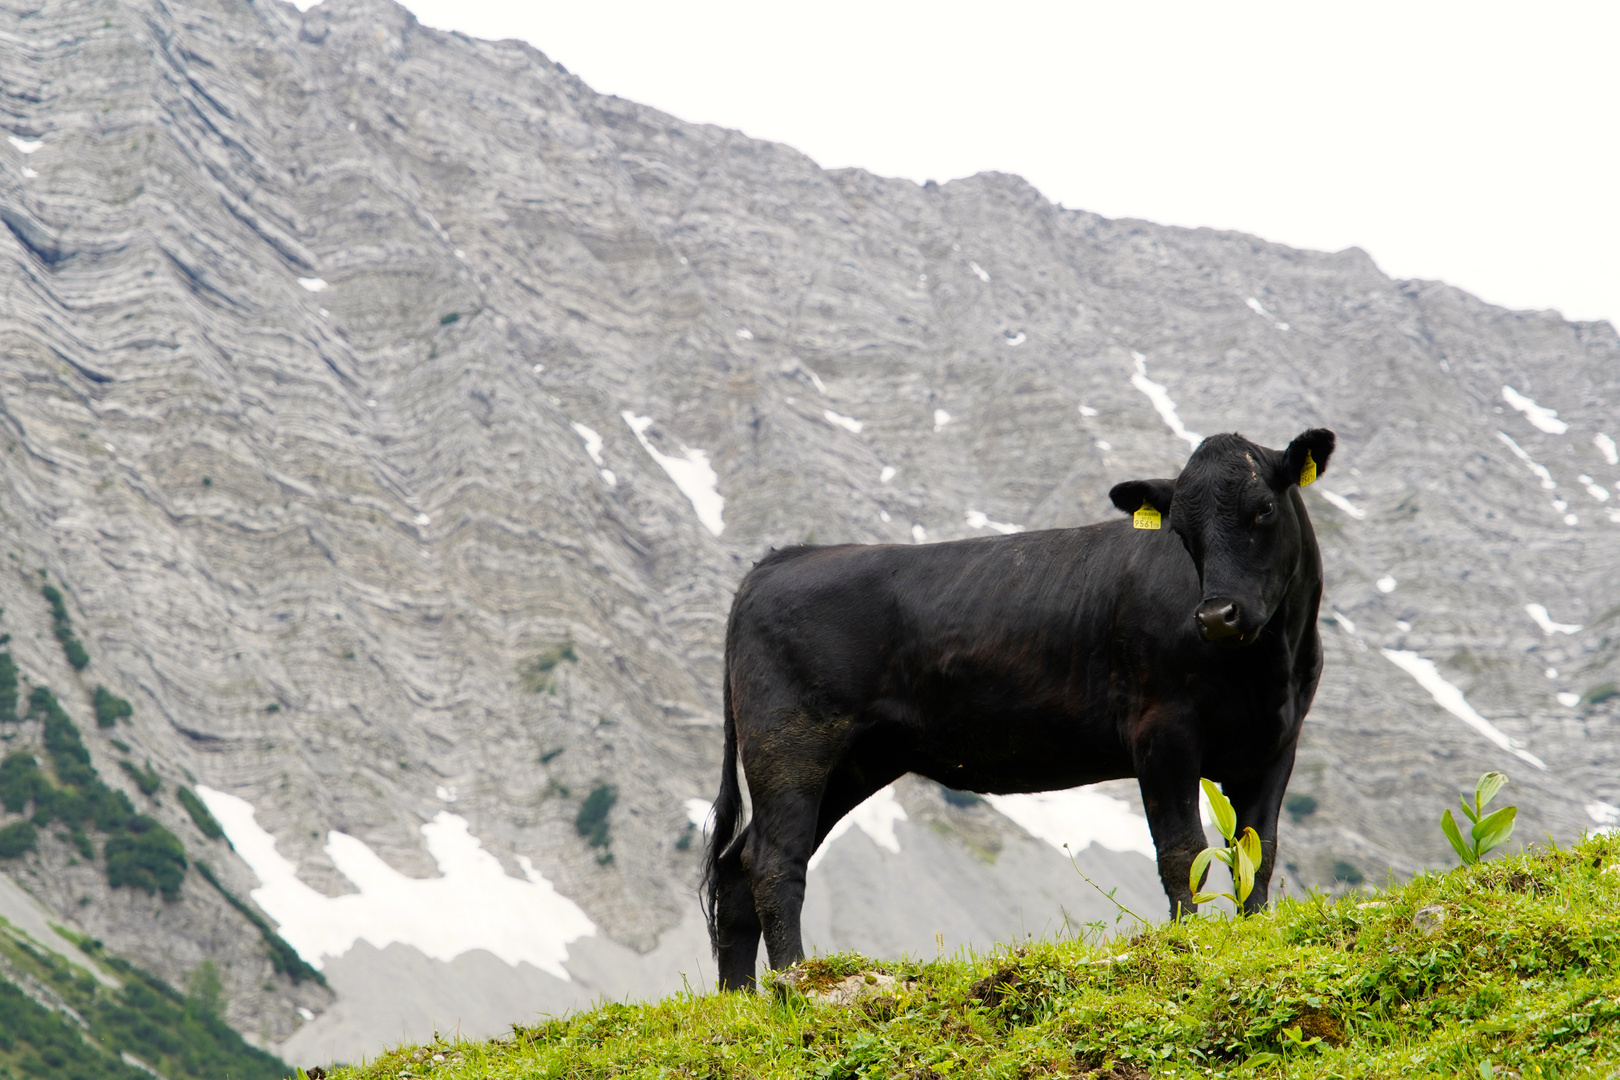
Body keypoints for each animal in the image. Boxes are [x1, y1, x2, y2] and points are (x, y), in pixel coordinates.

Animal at [703, 427, 1334, 990]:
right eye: (1182, 532)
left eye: (1263, 510)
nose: (1215, 615)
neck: (1267, 666)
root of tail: (779, 560)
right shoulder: (1162, 731)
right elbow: (1184, 851)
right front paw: (1190, 943)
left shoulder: (1278, 742)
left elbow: (1257, 850)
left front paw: (1255, 934)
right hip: (791, 745)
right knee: (772, 860)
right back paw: (794, 980)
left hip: (855, 761)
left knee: (734, 869)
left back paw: (741, 1000)